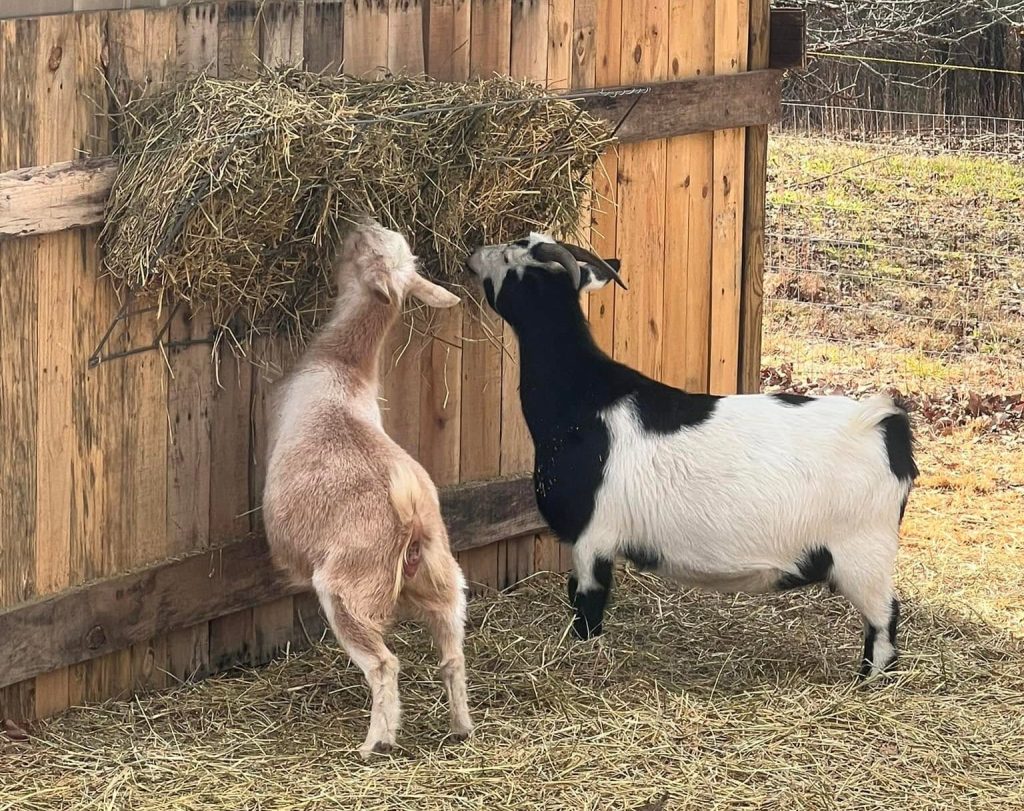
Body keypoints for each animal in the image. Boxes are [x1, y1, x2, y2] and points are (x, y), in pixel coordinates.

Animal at [263, 223, 472, 758]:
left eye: (365, 247)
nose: (358, 224)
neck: (343, 369)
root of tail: (411, 519)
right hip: (446, 583)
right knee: (452, 655)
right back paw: (461, 727)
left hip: (348, 593)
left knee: (384, 664)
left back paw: (377, 742)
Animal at [466, 232, 918, 678]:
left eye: (509, 258)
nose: (472, 255)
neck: (583, 399)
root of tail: (886, 427)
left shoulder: (592, 535)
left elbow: (586, 603)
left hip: (864, 556)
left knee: (885, 620)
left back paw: (870, 681)